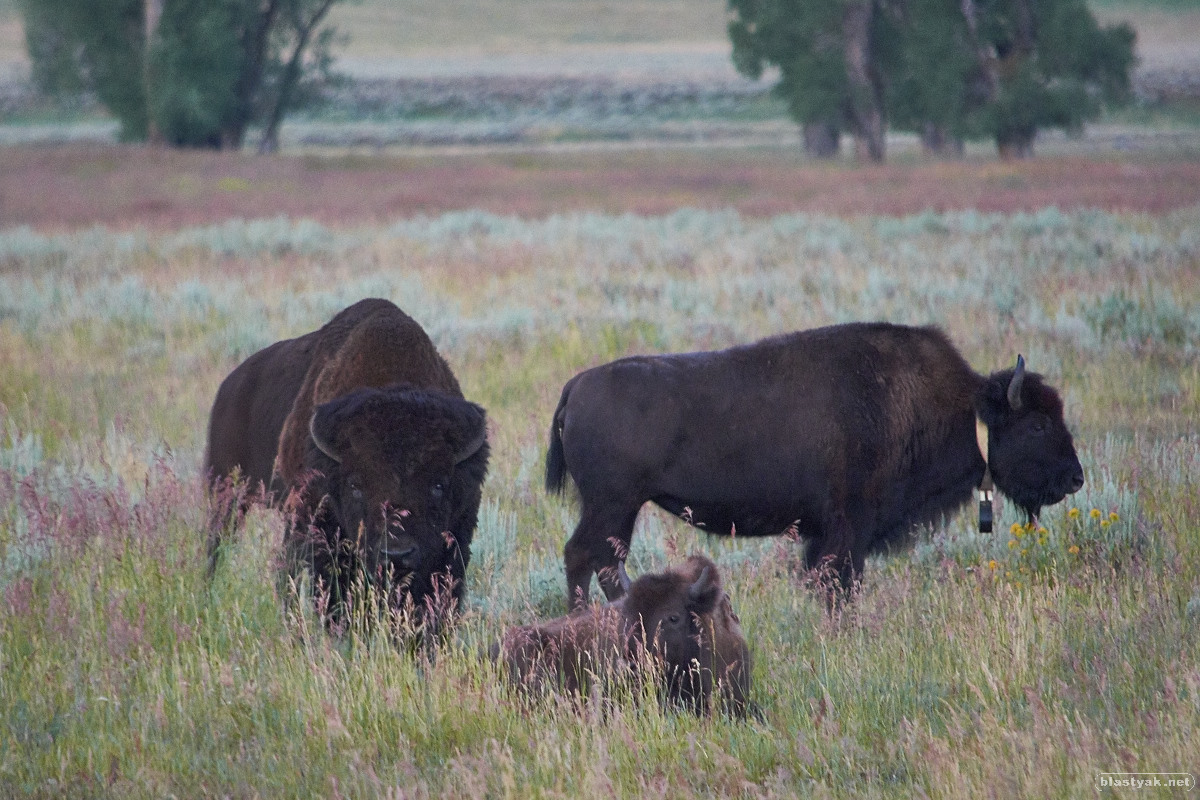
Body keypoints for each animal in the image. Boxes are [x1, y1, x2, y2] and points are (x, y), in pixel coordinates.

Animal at [549, 321, 1084, 604]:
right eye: (1037, 424)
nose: (1075, 478)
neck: (960, 407)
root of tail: (577, 384)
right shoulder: (847, 531)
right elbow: (839, 586)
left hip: (618, 510)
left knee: (604, 564)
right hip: (613, 505)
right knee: (583, 556)